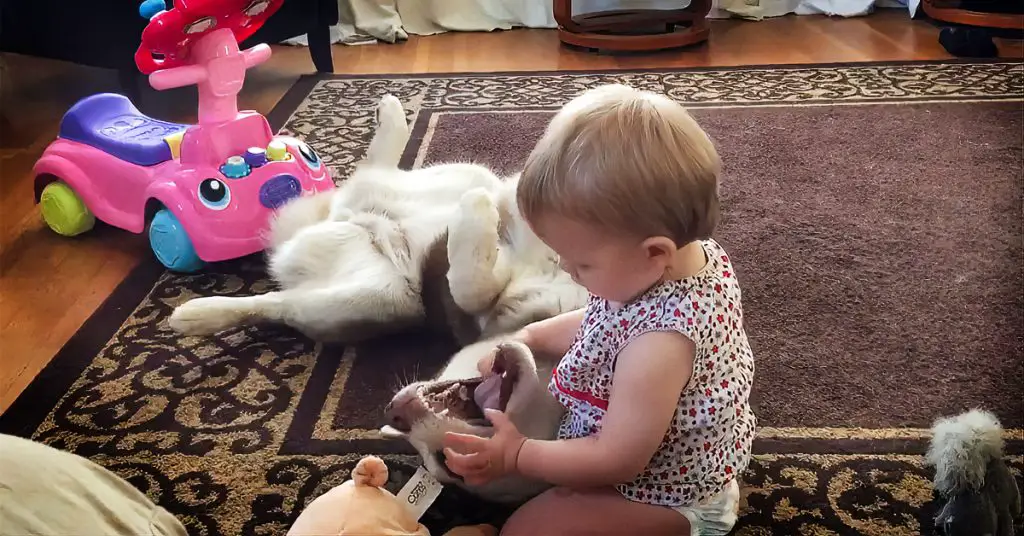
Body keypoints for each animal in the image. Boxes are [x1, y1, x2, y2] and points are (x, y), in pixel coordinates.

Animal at [167, 95, 585, 348]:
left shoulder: (480, 316)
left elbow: (471, 284)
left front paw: (476, 211)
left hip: (374, 297)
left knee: (275, 304)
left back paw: (194, 316)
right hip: (463, 171)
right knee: (372, 171)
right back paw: (392, 115)